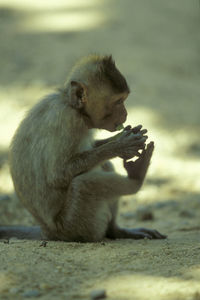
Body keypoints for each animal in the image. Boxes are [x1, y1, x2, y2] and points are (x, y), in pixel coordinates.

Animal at [1, 54, 167, 241]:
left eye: (124, 99)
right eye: (118, 101)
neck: (70, 104)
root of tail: (48, 232)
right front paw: (120, 146)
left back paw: (116, 231)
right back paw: (136, 180)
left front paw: (120, 138)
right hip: (75, 225)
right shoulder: (68, 120)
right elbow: (57, 174)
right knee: (84, 184)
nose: (125, 114)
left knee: (103, 166)